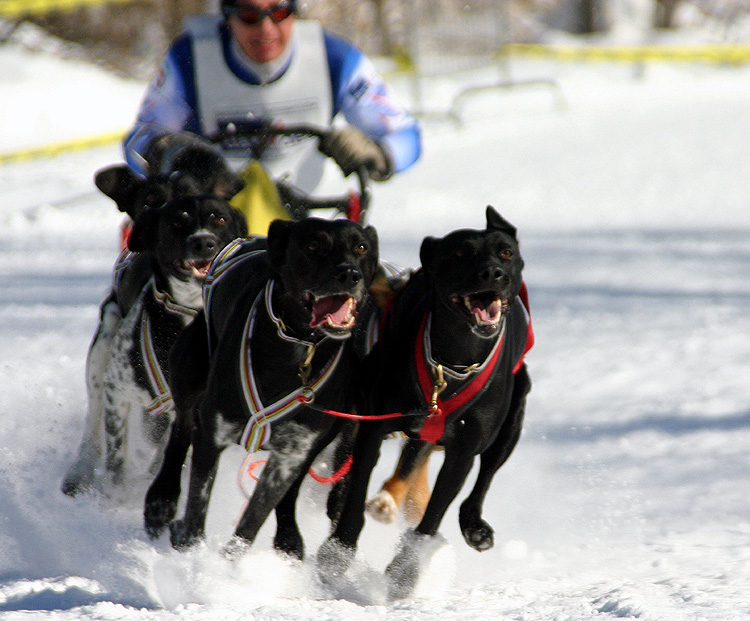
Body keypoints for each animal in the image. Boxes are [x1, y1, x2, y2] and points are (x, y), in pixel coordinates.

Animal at [60, 170, 247, 498]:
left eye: (220, 219)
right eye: (176, 222)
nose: (204, 242)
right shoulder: (117, 390)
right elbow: (116, 458)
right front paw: (114, 498)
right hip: (103, 344)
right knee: (93, 416)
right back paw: (81, 469)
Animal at [145, 216, 382, 560]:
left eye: (361, 247)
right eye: (313, 246)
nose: (350, 273)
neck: (299, 346)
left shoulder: (291, 454)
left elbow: (253, 520)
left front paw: (228, 563)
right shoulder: (213, 434)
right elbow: (196, 508)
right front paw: (193, 552)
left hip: (328, 433)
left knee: (291, 492)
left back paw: (288, 536)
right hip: (188, 373)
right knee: (180, 431)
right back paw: (161, 499)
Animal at [318, 206, 536, 600]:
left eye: (506, 252)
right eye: (460, 253)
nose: (493, 272)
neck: (451, 363)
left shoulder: (462, 451)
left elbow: (434, 513)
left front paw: (405, 571)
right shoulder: (374, 425)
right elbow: (357, 489)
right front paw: (339, 550)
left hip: (511, 419)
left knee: (483, 476)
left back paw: (473, 524)